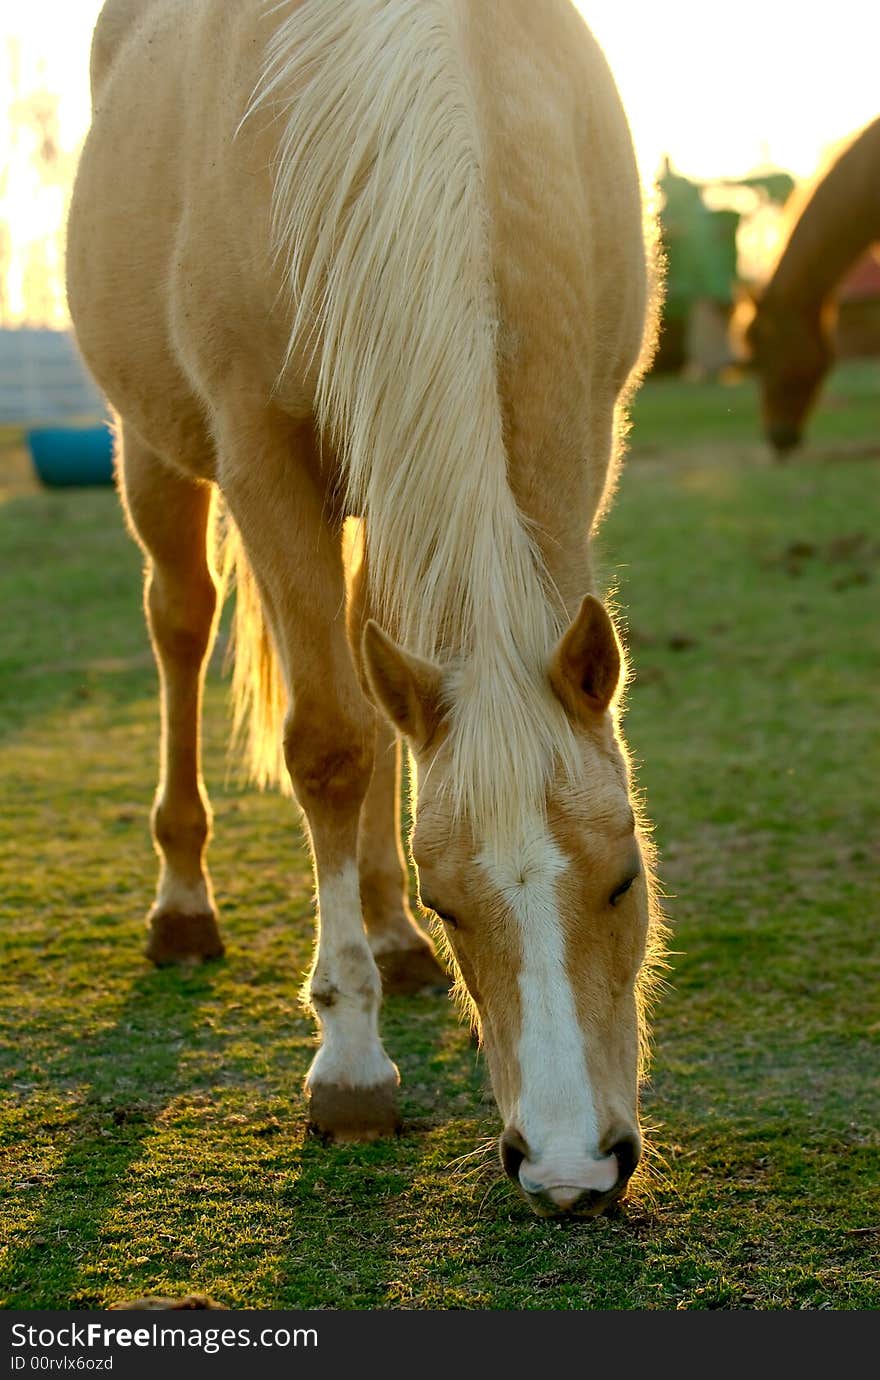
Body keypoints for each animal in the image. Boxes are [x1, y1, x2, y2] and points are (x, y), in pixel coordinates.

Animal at [67, 0, 662, 1219]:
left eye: (624, 878)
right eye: (454, 902)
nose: (573, 1170)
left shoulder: (584, 421)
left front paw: (392, 948)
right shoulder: (264, 459)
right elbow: (330, 744)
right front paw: (350, 1064)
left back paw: (384, 945)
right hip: (154, 450)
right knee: (182, 623)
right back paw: (186, 908)